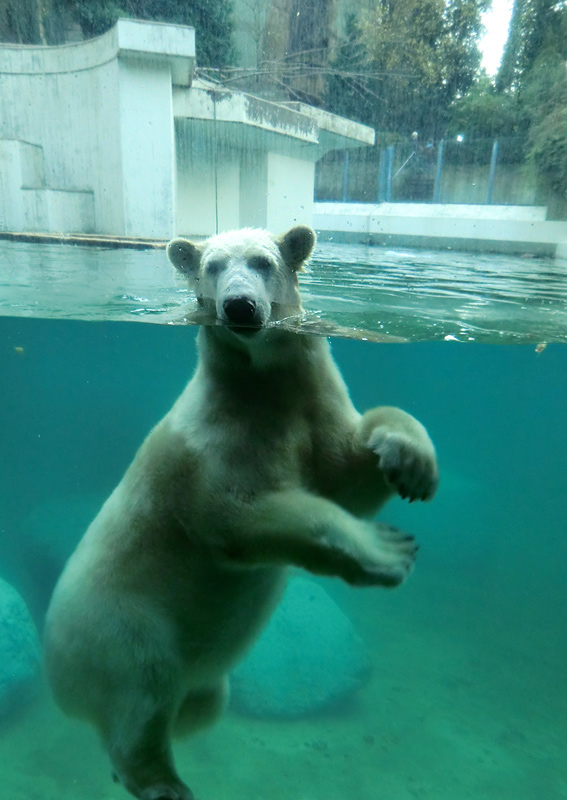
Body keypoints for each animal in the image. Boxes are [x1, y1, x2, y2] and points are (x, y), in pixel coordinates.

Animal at [45, 225, 440, 800]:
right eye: (211, 267)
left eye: (263, 261)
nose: (239, 306)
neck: (261, 388)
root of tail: (61, 682)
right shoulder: (217, 442)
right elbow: (241, 517)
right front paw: (389, 550)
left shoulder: (307, 406)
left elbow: (343, 474)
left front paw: (410, 460)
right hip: (120, 626)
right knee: (144, 693)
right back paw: (160, 780)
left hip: (188, 676)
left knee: (201, 706)